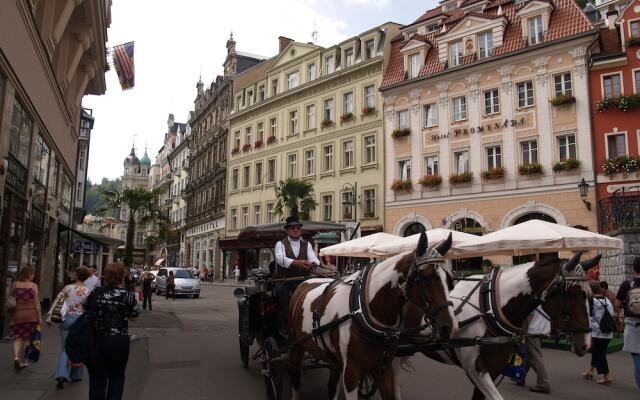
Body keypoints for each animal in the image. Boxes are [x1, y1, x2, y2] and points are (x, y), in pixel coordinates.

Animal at [290, 233, 456, 398]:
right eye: (426, 277)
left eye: (450, 280)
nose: (449, 327)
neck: (362, 309)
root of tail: (306, 281)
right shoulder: (350, 372)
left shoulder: (384, 369)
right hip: (297, 347)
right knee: (296, 378)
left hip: (332, 358)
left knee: (331, 385)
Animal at [412, 253, 592, 400]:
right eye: (572, 293)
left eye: (588, 295)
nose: (586, 344)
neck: (489, 308)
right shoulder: (474, 368)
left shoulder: (494, 367)